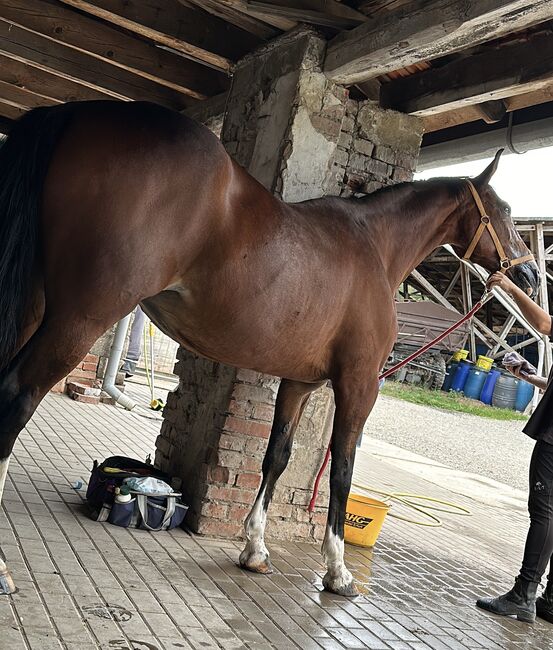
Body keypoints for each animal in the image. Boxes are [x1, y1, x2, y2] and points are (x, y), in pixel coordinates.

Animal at [0, 102, 536, 596]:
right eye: (508, 213)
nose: (530, 273)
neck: (374, 247)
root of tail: (78, 114)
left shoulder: (299, 382)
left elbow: (276, 456)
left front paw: (255, 549)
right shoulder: (358, 384)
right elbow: (341, 472)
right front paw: (337, 571)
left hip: (34, 305)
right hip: (80, 317)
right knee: (17, 397)